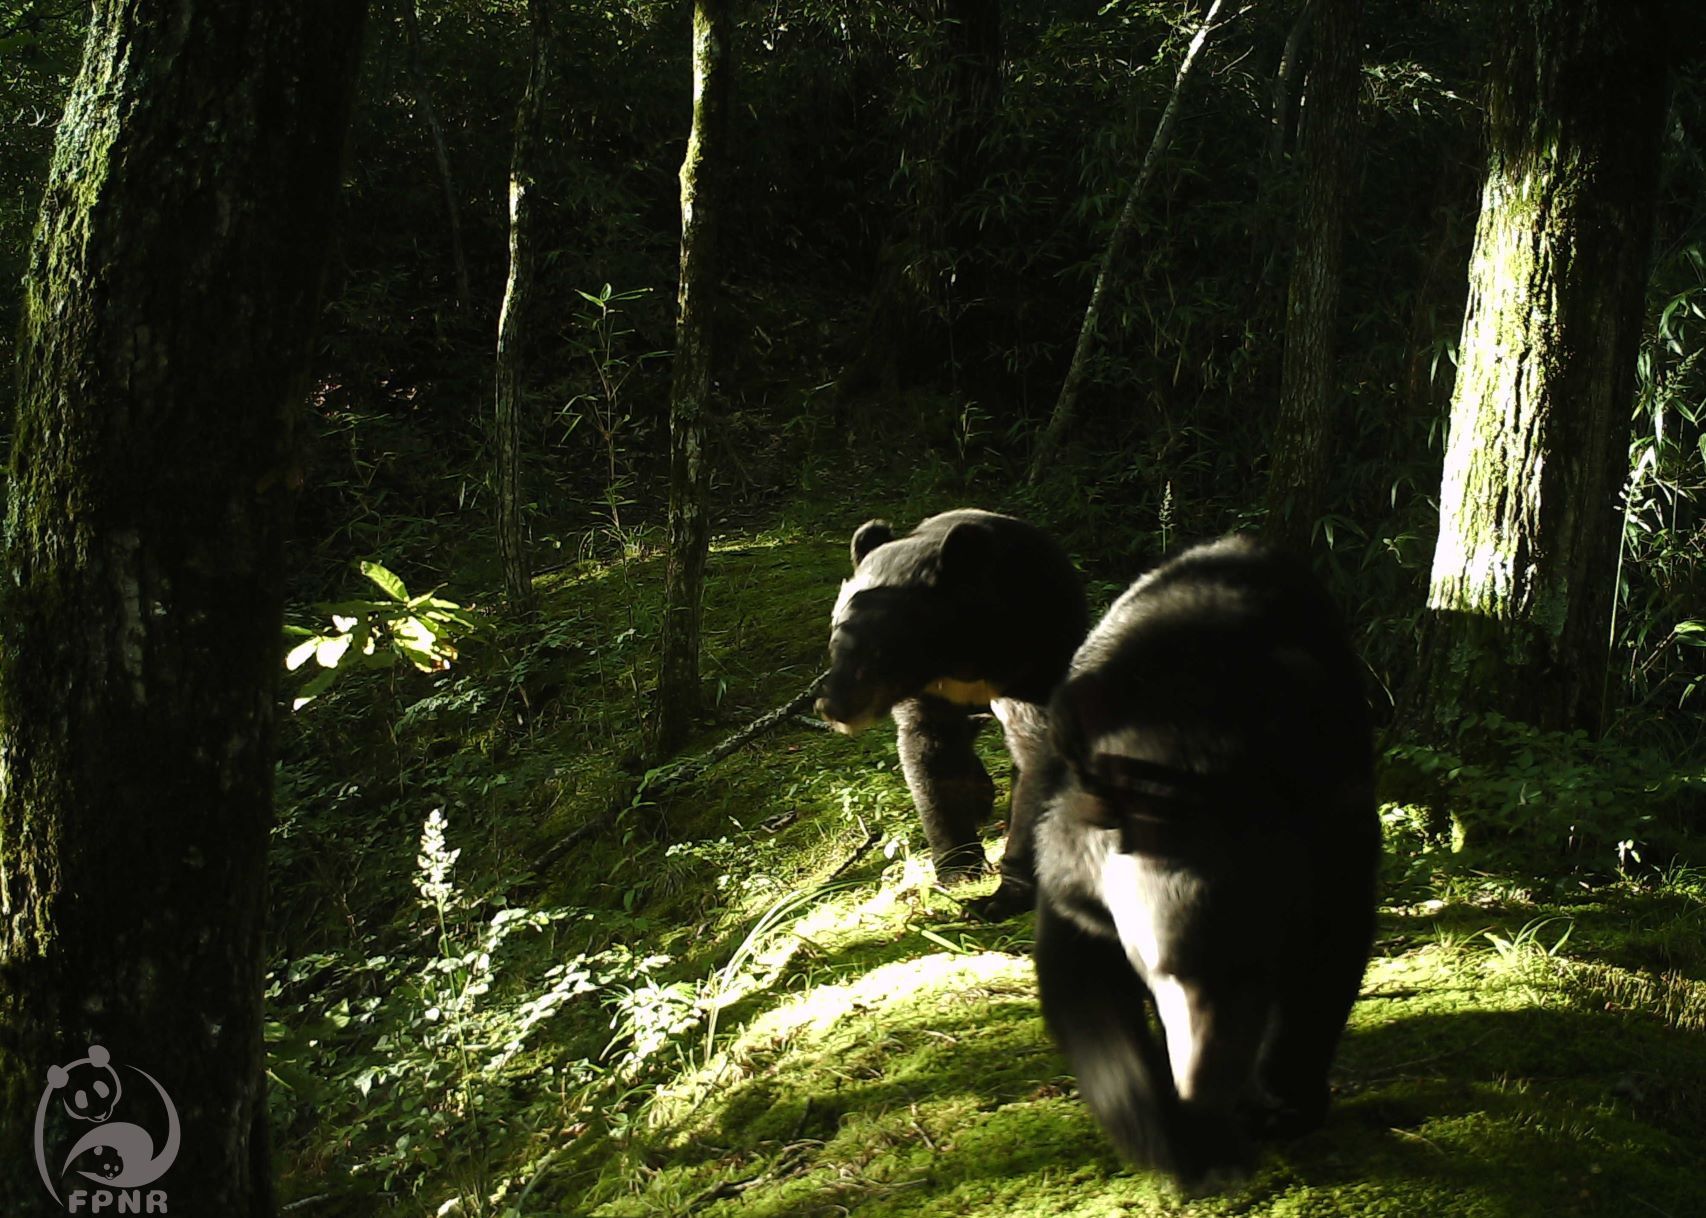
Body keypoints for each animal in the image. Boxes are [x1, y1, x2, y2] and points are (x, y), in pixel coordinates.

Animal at [815, 509, 1088, 919]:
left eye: (880, 653)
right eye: (834, 639)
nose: (832, 707)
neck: (959, 658)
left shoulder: (1035, 655)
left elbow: (1037, 755)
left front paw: (1002, 896)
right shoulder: (929, 694)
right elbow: (932, 757)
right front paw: (958, 870)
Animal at [1031, 534, 1378, 1191]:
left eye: (1258, 973)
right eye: (1161, 970)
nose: (1201, 1088)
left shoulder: (1332, 816)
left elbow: (1332, 944)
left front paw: (1279, 1104)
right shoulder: (1073, 866)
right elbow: (1083, 986)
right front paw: (1186, 1145)